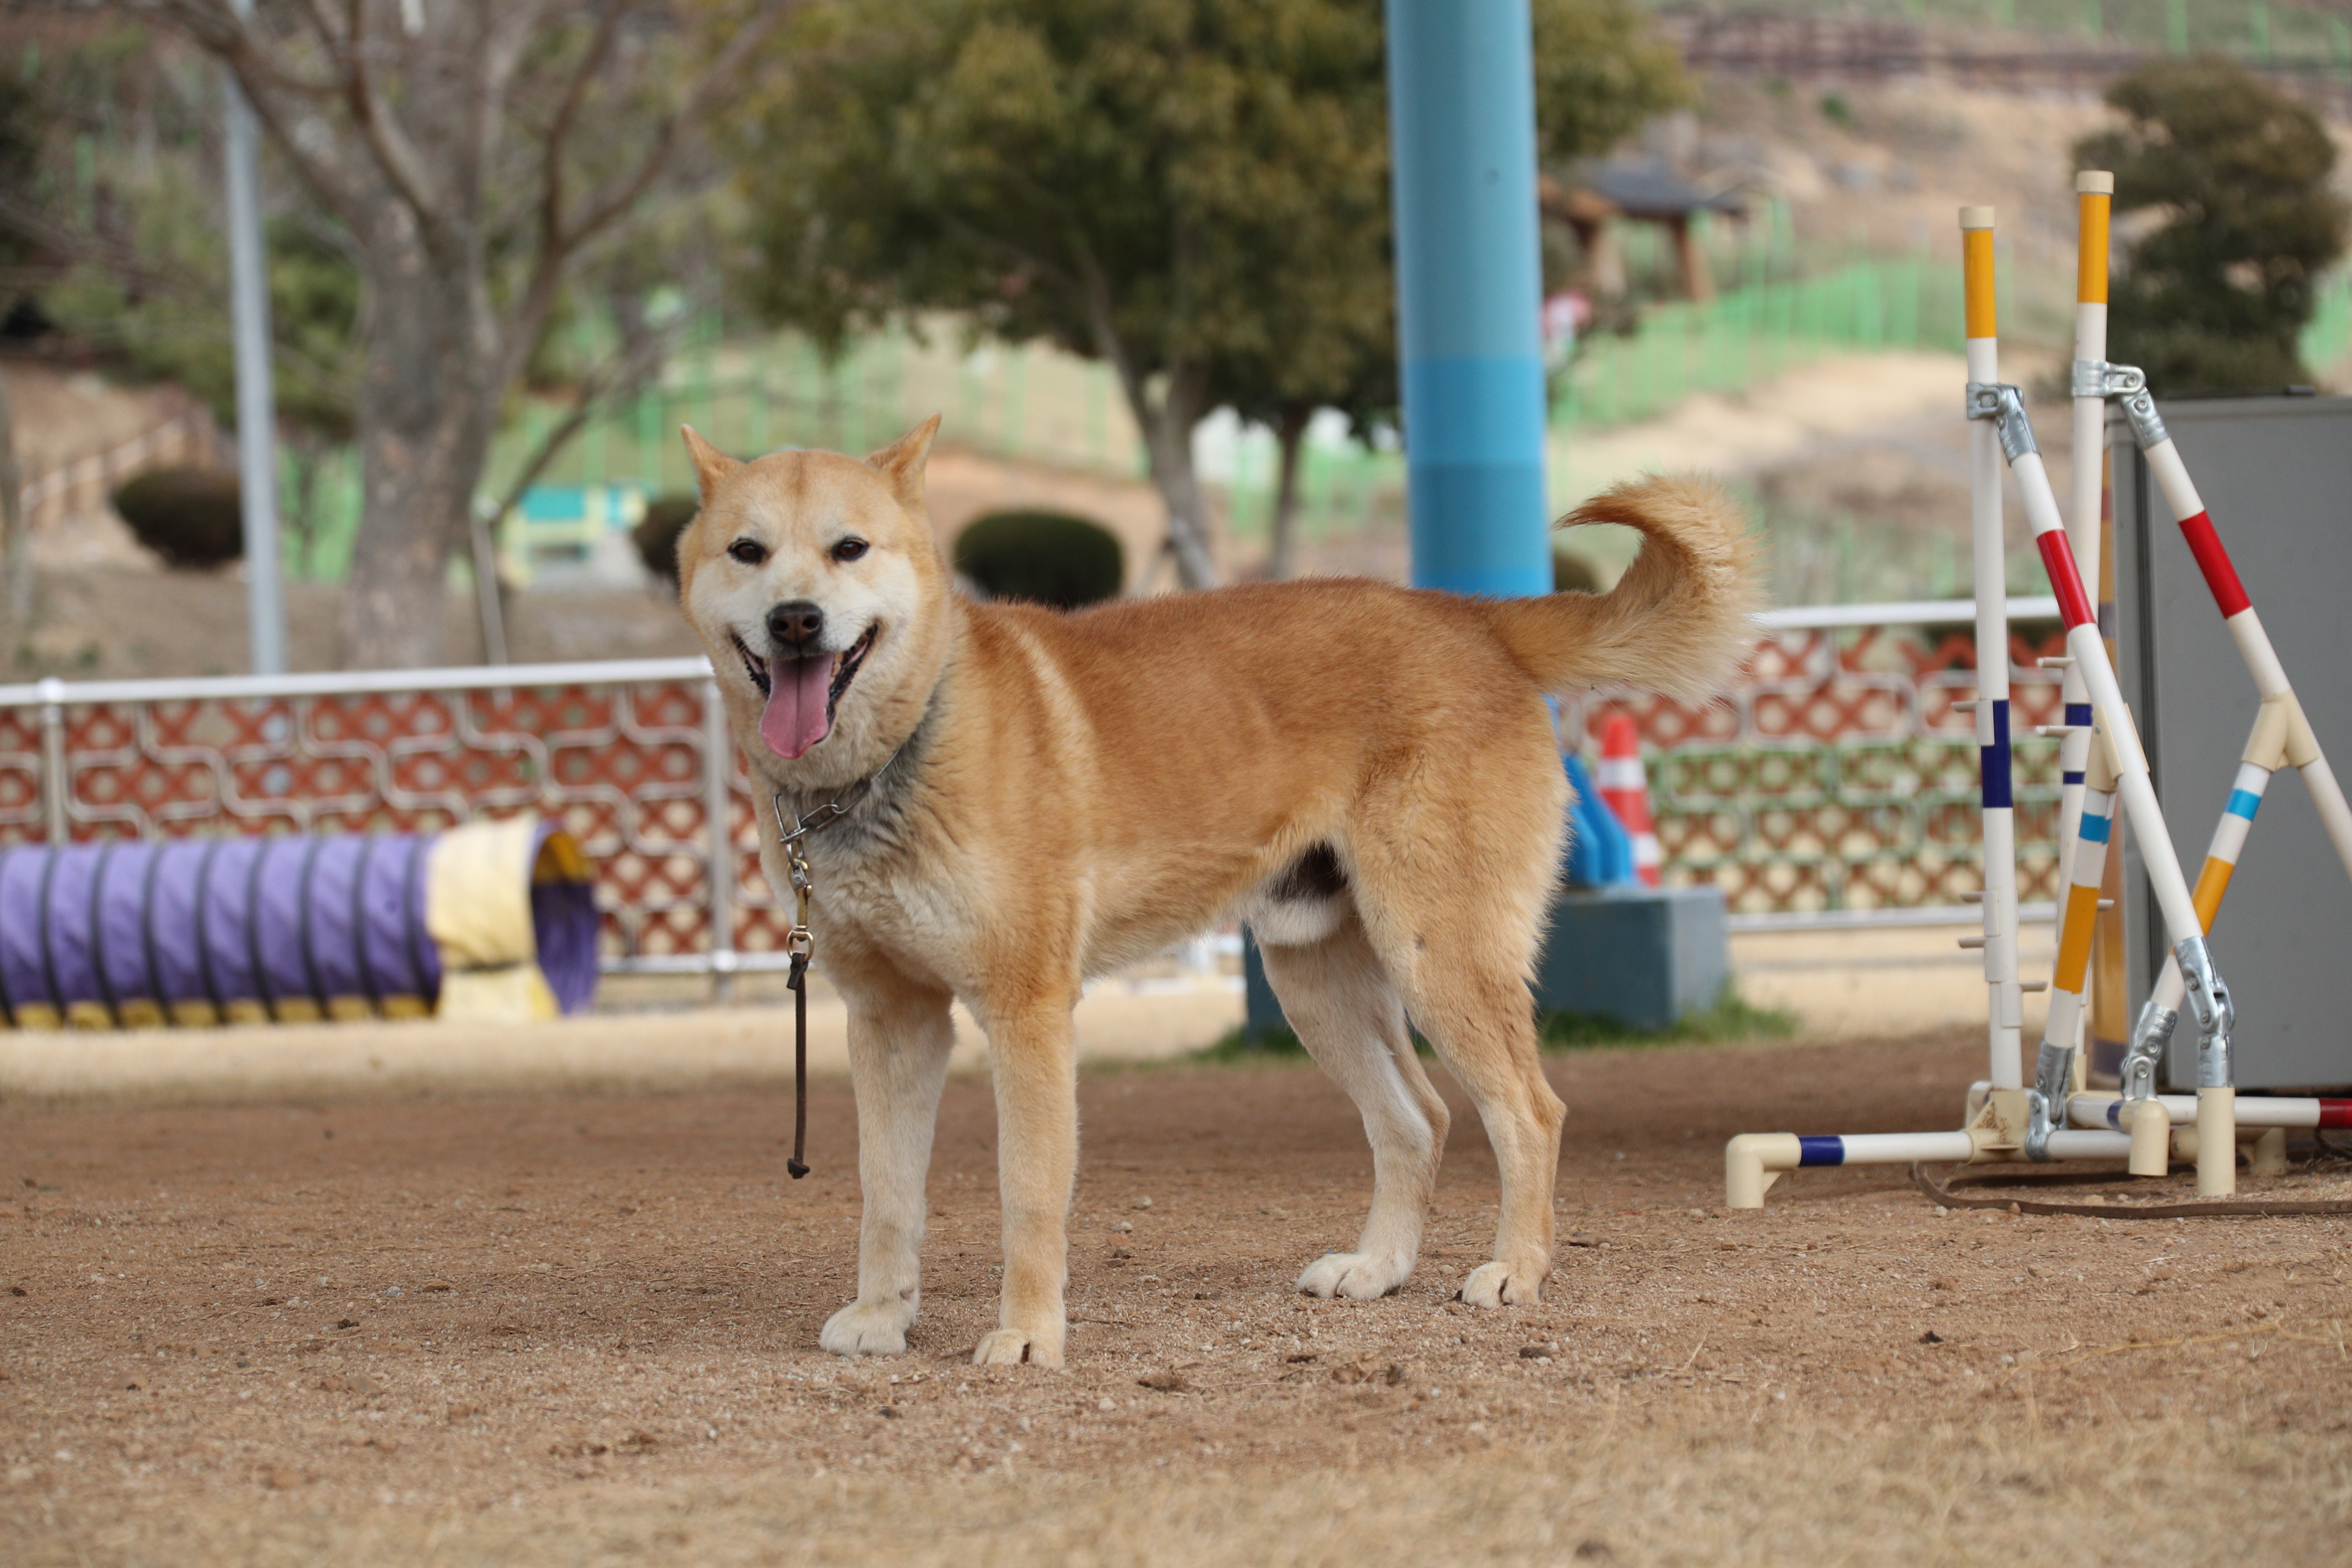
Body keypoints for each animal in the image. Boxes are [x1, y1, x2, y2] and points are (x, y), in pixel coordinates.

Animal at [672, 416, 1759, 1363]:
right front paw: (880, 1317)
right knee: (1418, 1119)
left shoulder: (1027, 1014)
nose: (797, 620)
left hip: (1437, 957)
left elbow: (1029, 1196)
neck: (894, 754)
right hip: (1315, 980)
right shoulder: (892, 1021)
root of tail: (1469, 616)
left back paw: (1515, 1271)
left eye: (849, 548)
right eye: (747, 551)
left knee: (1529, 1113)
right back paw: (1378, 1267)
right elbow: (887, 1192)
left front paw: (1026, 1334)